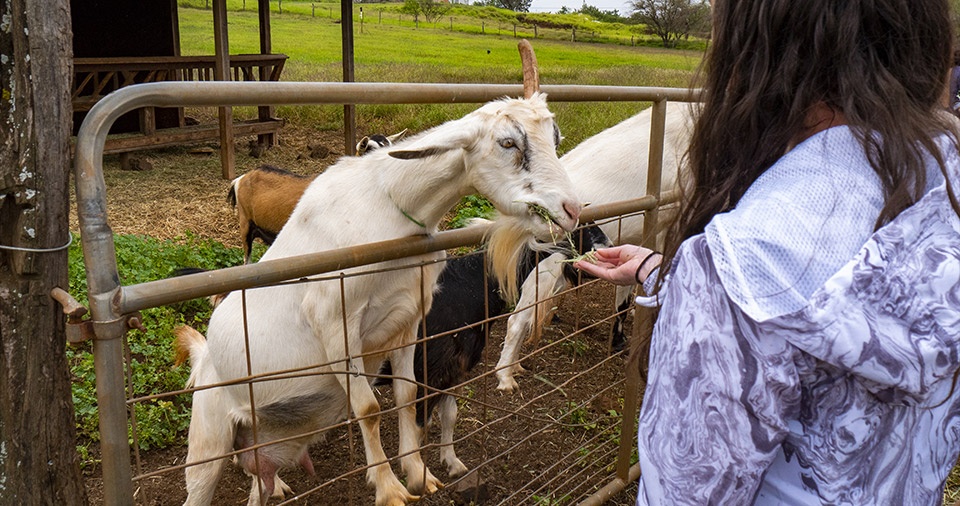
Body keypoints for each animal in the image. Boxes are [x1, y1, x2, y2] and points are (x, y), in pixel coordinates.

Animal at [173, 92, 580, 506]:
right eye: (508, 143)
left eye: (555, 138)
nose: (572, 209)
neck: (388, 208)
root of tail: (204, 357)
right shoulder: (335, 323)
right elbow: (368, 408)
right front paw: (389, 488)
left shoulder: (408, 319)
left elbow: (407, 392)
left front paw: (418, 473)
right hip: (208, 441)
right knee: (200, 486)